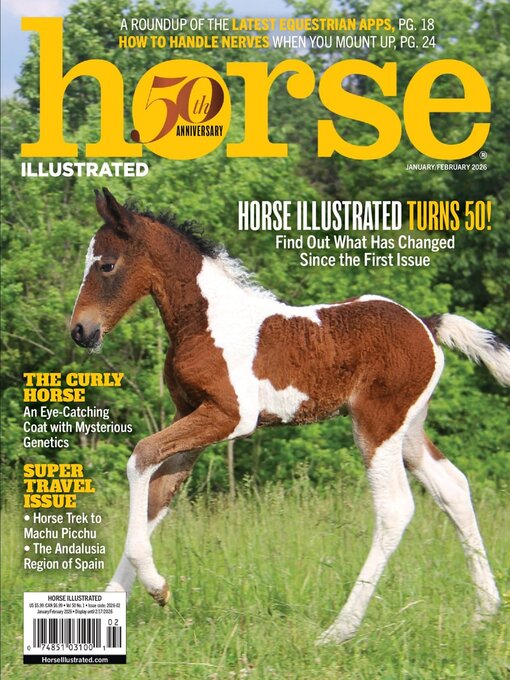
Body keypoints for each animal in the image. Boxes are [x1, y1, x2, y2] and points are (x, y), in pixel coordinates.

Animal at [70, 188, 508, 644]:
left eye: (106, 264)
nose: (81, 331)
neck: (206, 322)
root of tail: (425, 323)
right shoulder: (191, 414)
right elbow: (158, 495)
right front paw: (113, 607)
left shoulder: (229, 416)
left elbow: (140, 455)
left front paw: (156, 586)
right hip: (409, 429)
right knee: (453, 488)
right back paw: (485, 611)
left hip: (377, 425)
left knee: (395, 507)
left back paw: (339, 630)